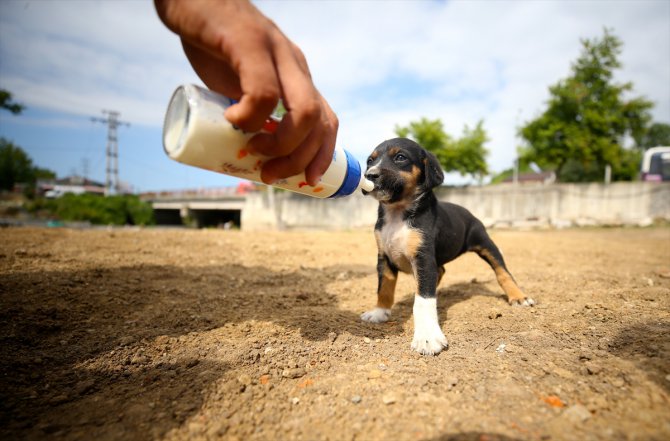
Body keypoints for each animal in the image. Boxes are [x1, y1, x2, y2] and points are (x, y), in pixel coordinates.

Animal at [362, 138, 536, 354]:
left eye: (400, 157)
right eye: (370, 161)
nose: (369, 175)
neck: (397, 213)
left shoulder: (424, 259)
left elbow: (424, 301)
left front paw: (427, 337)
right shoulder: (384, 258)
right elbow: (384, 288)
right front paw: (379, 312)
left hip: (486, 244)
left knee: (502, 272)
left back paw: (518, 297)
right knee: (441, 271)